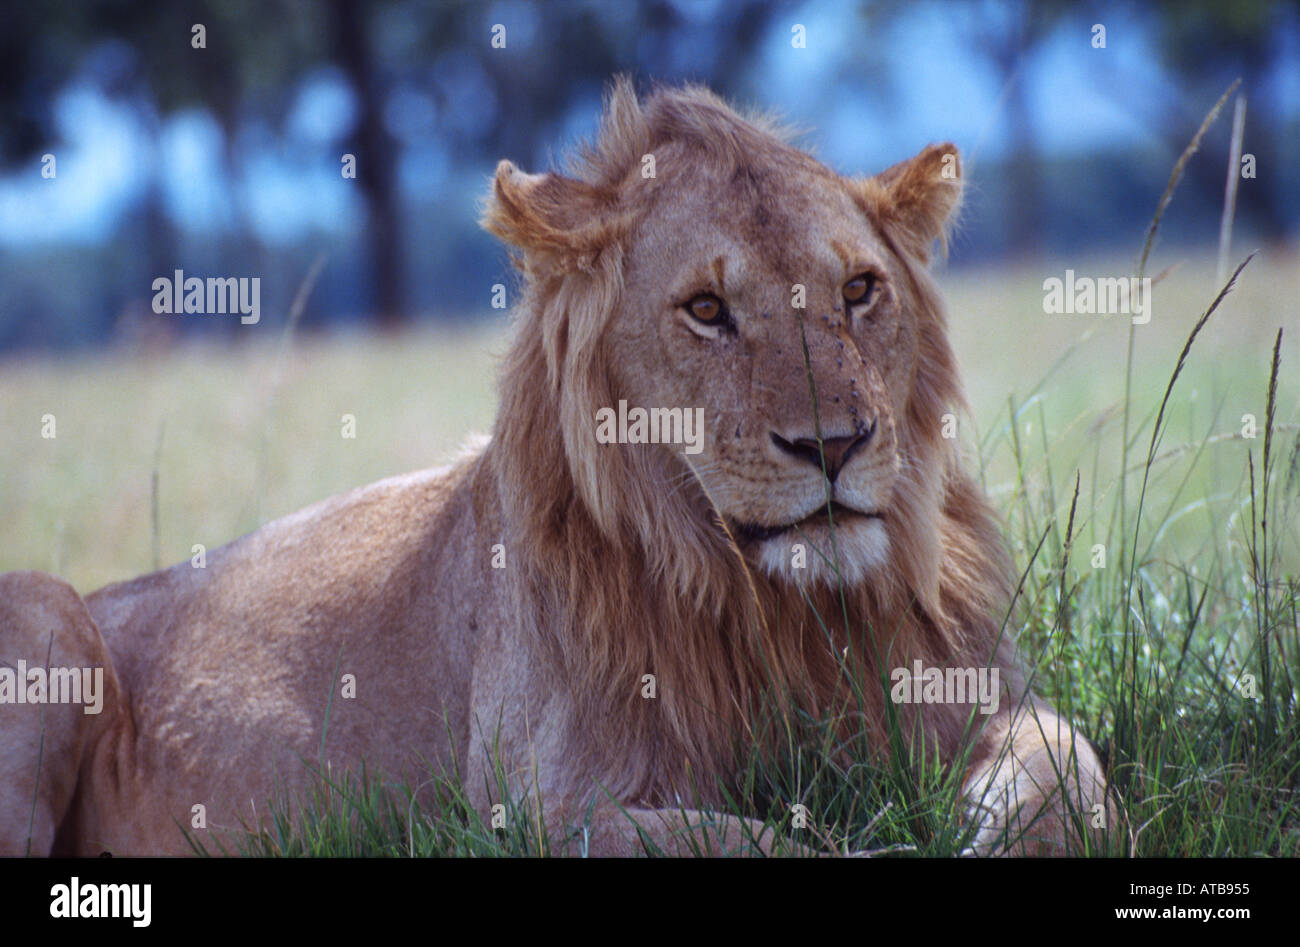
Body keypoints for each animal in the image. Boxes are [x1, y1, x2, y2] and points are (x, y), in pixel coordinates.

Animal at [1, 78, 1111, 857]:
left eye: (858, 289)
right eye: (706, 308)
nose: (833, 444)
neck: (781, 612)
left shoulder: (976, 692)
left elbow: (1069, 766)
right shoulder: (541, 807)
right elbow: (764, 843)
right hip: (45, 604)